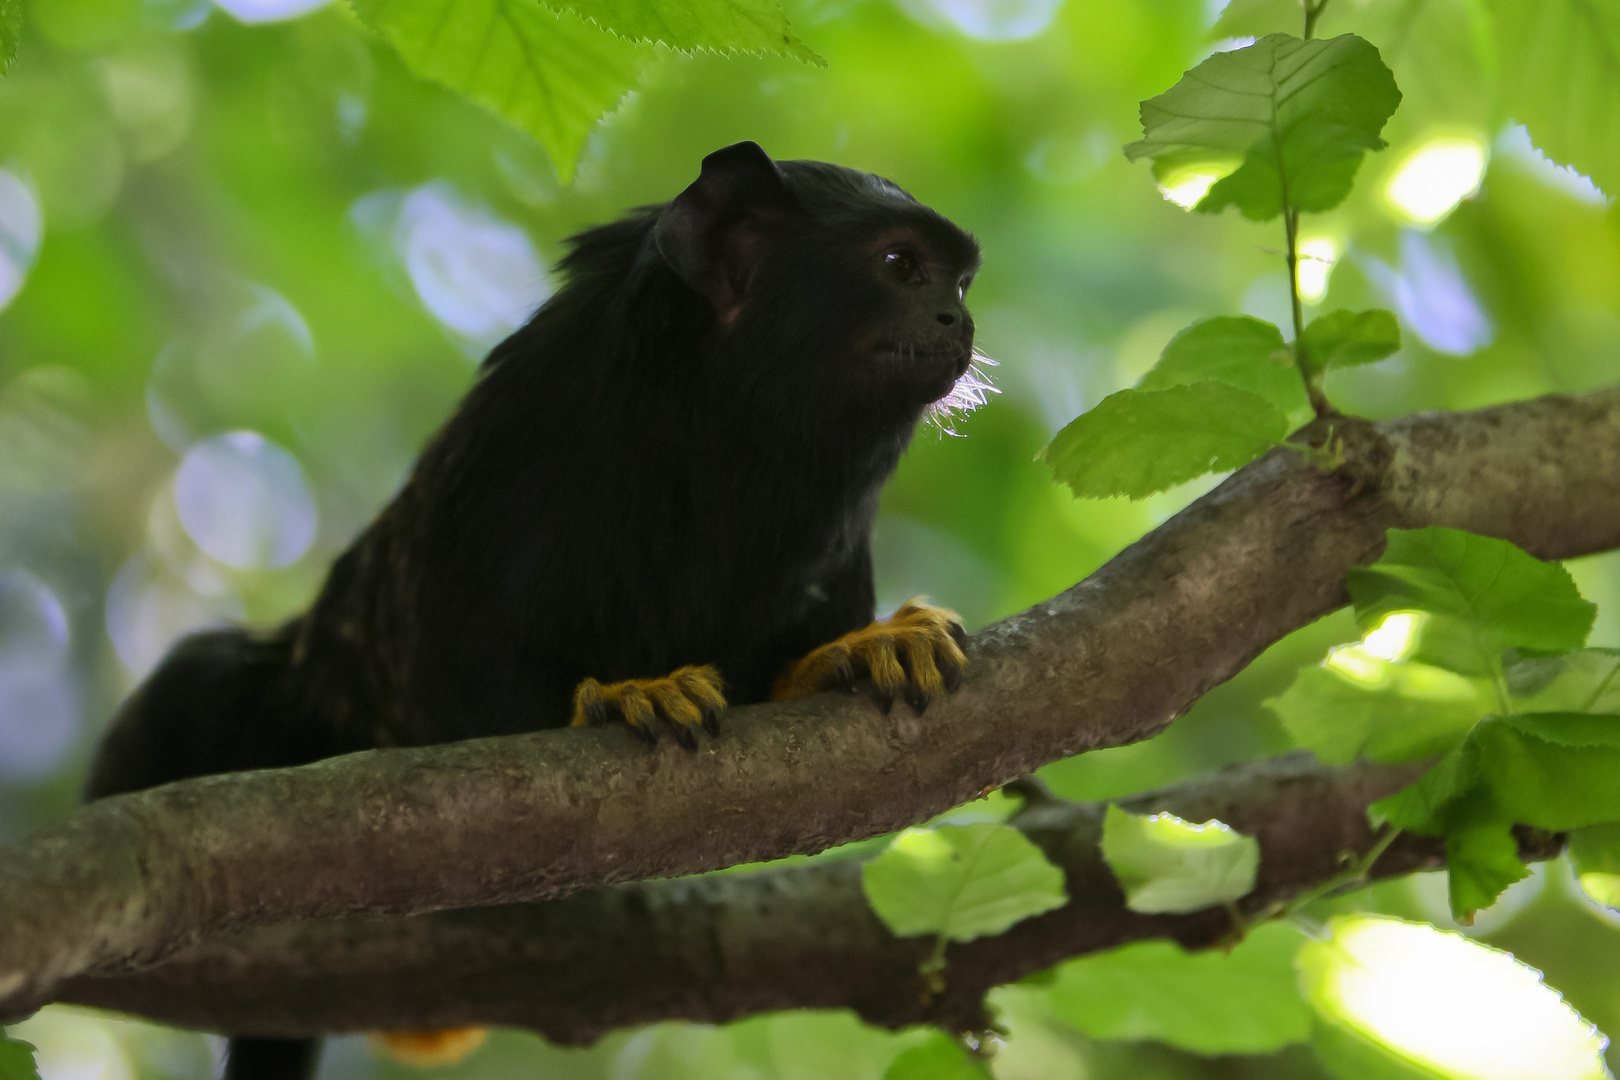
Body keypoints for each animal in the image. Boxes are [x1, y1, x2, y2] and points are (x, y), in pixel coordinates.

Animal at [85, 141, 984, 1075]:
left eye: (960, 284)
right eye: (901, 266)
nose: (958, 322)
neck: (723, 445)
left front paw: (855, 653)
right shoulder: (516, 456)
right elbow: (467, 702)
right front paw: (625, 695)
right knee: (204, 677)